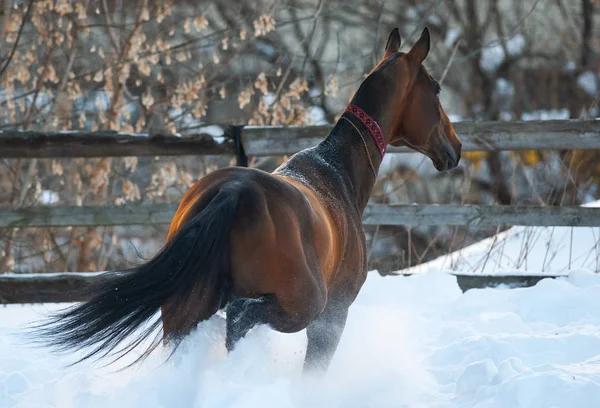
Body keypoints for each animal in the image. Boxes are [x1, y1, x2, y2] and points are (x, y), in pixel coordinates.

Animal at [30, 27, 462, 374]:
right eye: (437, 89)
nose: (455, 148)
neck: (337, 173)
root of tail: (231, 193)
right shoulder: (332, 317)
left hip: (183, 310)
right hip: (300, 305)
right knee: (239, 317)